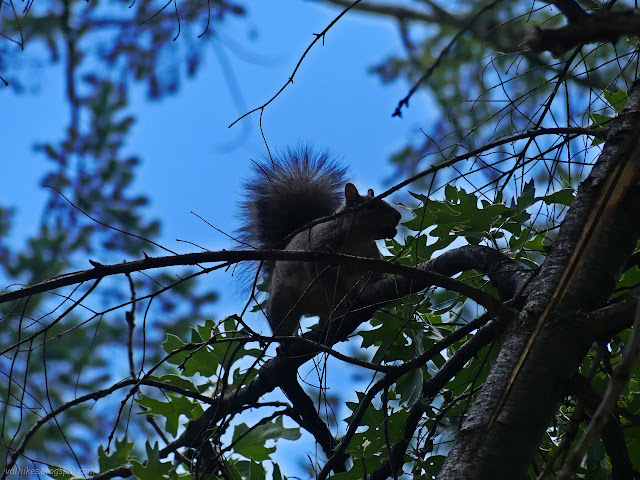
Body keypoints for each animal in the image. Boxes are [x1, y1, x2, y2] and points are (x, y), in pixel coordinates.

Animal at [240, 146, 400, 338]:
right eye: (370, 207)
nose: (398, 216)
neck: (356, 240)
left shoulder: (370, 255)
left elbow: (373, 273)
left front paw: (382, 279)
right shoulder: (320, 252)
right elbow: (325, 277)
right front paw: (346, 298)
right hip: (282, 301)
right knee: (283, 323)